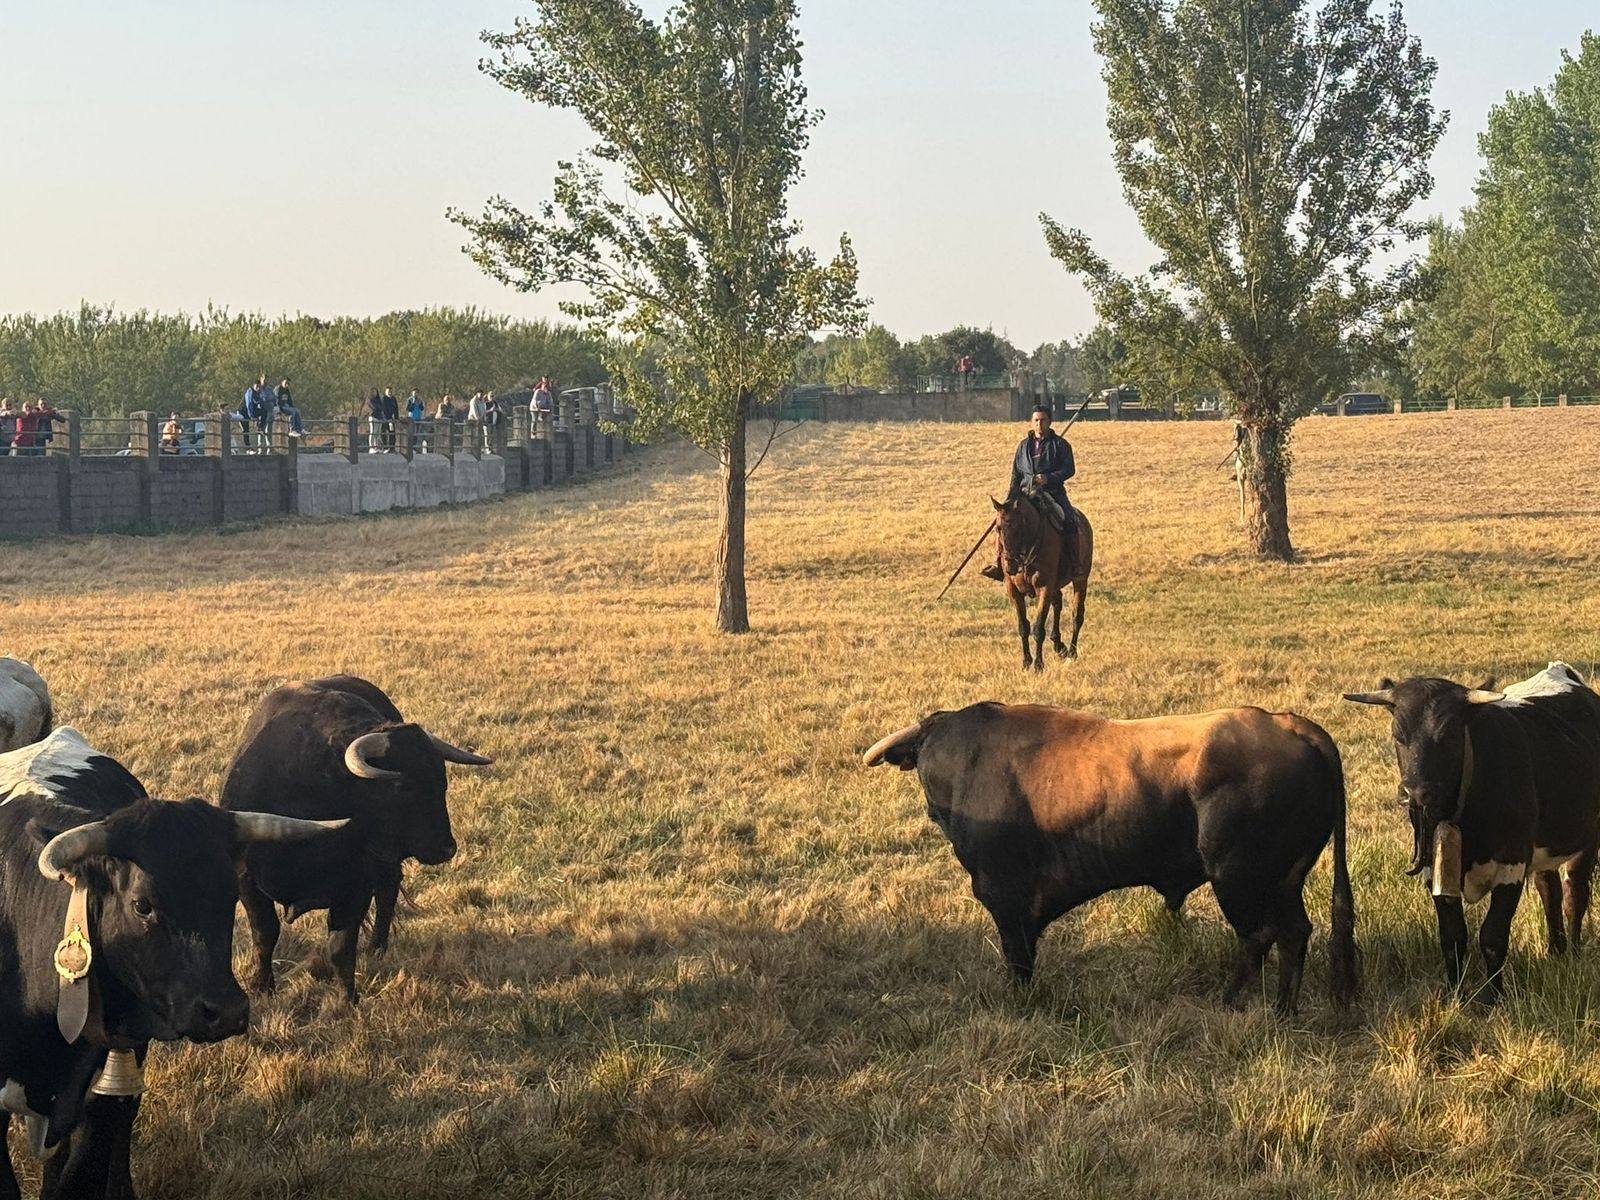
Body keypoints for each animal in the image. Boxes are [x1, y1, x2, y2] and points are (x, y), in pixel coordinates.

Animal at [991, 493, 1094, 670]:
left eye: (1018, 528)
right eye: (998, 528)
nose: (1010, 565)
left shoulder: (1044, 587)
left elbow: (1038, 628)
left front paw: (1038, 665)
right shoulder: (1013, 590)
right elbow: (1023, 626)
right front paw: (1026, 662)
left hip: (1080, 580)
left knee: (1077, 615)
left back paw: (1071, 653)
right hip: (1056, 585)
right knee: (1058, 603)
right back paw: (1059, 645)